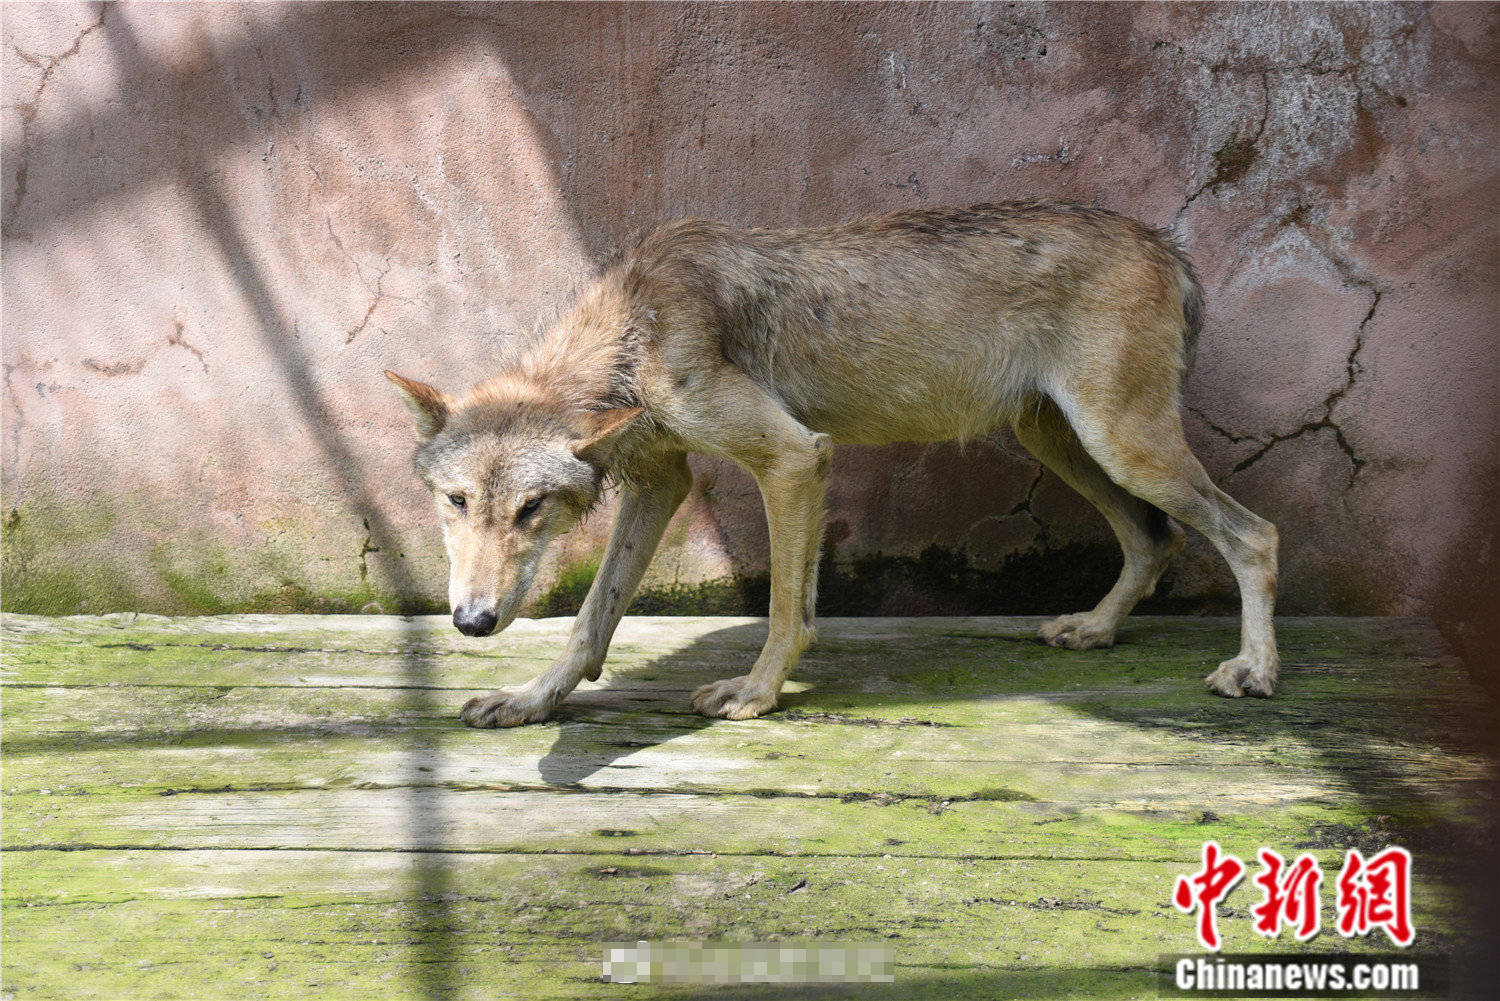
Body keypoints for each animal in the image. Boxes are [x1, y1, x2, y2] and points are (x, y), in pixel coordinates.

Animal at [390, 199, 1278, 729]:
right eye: (456, 502)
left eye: (530, 509)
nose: (471, 622)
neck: (637, 324)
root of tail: (1166, 244)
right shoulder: (662, 481)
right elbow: (589, 621)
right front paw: (529, 700)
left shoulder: (795, 459)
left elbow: (788, 611)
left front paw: (754, 693)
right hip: (1064, 445)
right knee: (1155, 540)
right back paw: (1094, 628)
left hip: (1121, 446)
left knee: (1253, 535)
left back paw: (1252, 669)